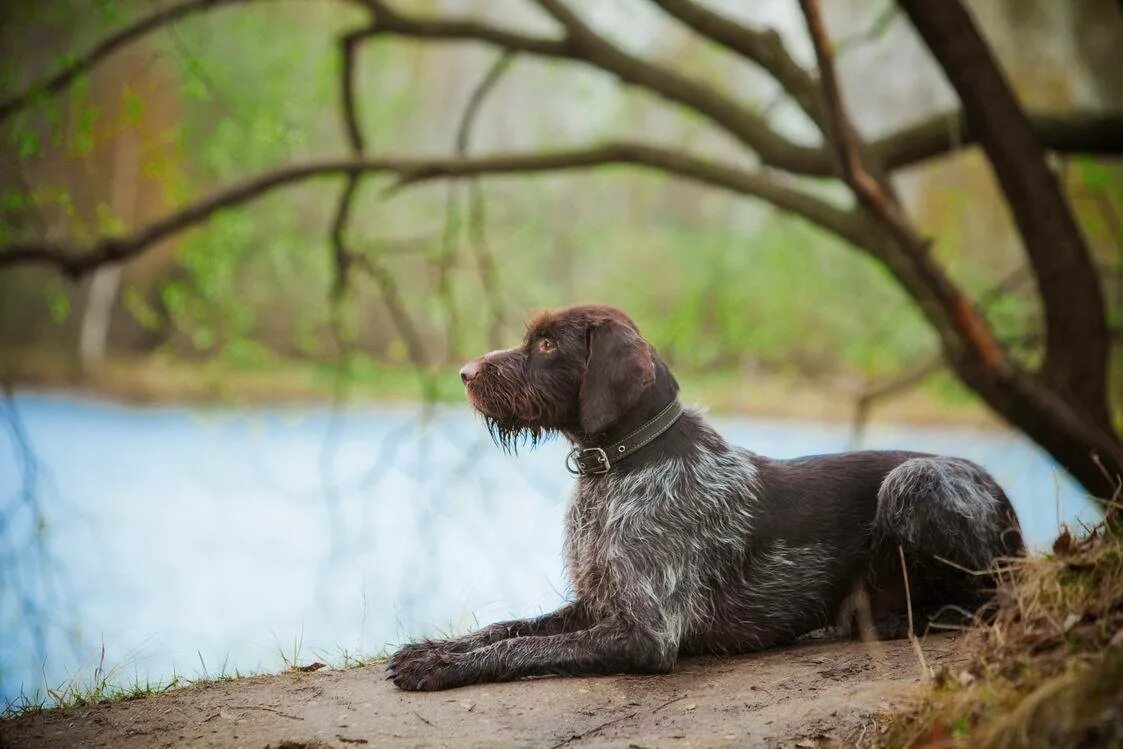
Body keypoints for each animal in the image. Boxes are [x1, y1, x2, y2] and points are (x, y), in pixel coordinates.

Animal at [388, 305, 1028, 691]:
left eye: (546, 343)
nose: (465, 372)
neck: (622, 465)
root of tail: (1003, 495)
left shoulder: (645, 635)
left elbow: (522, 650)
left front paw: (439, 666)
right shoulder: (597, 604)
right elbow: (508, 629)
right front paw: (436, 647)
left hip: (914, 482)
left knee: (996, 596)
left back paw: (914, 619)